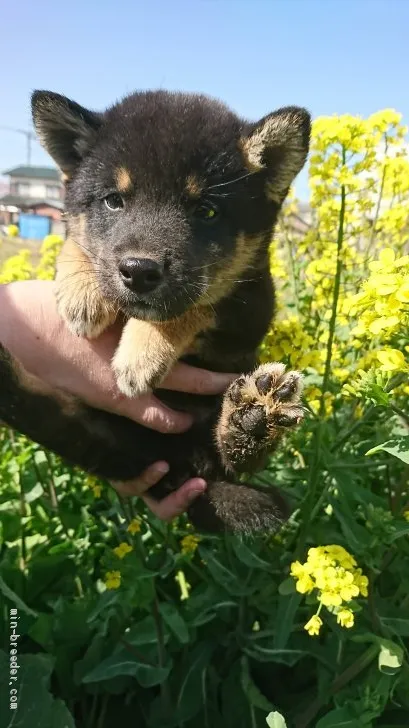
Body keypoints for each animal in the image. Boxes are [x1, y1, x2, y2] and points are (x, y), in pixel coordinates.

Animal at [0, 91, 310, 532]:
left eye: (207, 211)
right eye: (114, 201)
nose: (138, 271)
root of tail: (183, 468)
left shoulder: (251, 307)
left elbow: (196, 304)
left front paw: (141, 354)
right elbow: (76, 241)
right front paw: (81, 291)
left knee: (235, 461)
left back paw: (251, 421)